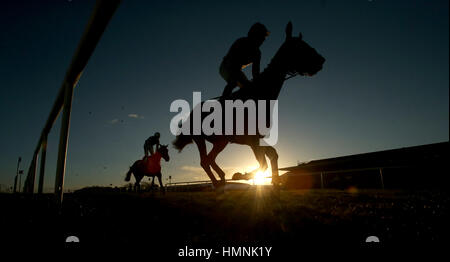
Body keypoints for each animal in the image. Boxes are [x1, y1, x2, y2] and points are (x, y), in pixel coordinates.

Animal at [172, 22, 324, 189]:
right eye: (300, 47)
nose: (321, 60)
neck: (259, 94)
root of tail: (190, 114)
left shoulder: (254, 140)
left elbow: (272, 153)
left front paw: (275, 180)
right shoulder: (251, 139)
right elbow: (263, 163)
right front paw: (240, 175)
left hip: (220, 141)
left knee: (209, 159)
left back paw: (222, 178)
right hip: (204, 139)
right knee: (205, 161)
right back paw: (218, 183)